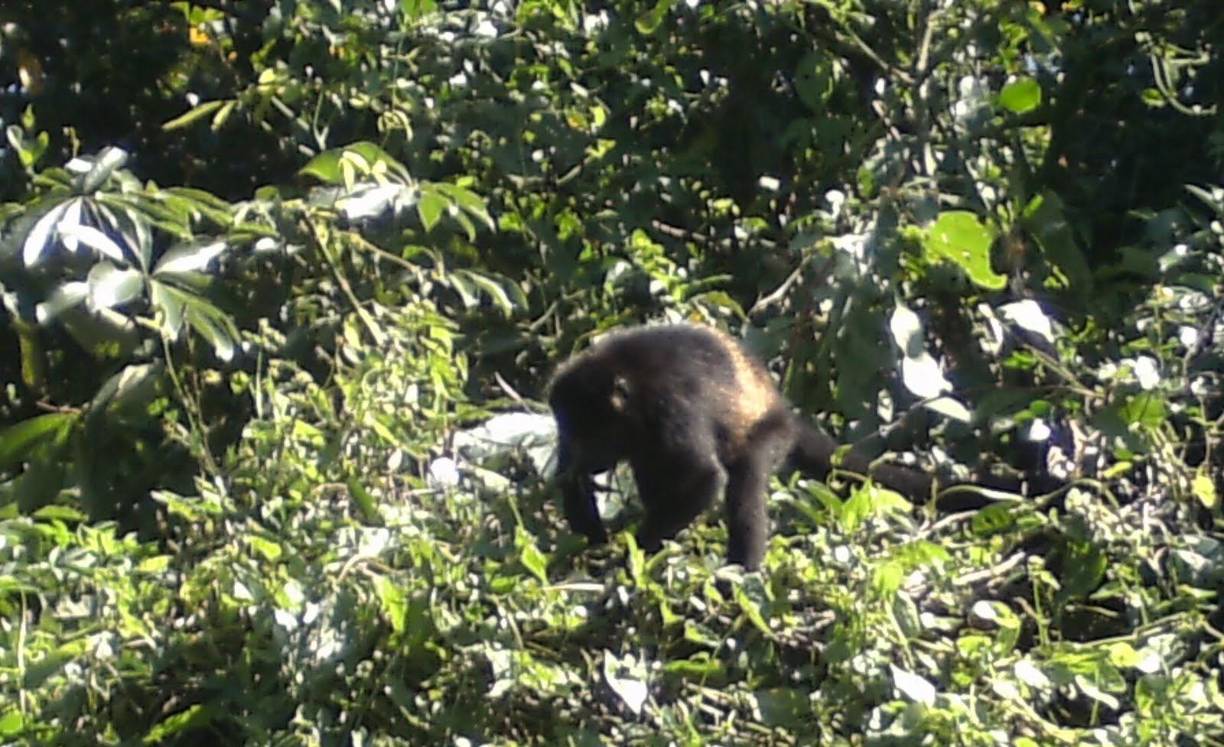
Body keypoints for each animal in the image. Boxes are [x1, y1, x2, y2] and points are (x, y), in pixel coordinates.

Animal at [547, 323, 939, 570]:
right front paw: (592, 548)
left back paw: (740, 571)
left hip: (770, 433)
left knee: (745, 484)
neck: (629, 388)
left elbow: (703, 478)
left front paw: (630, 557)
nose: (581, 456)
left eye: (595, 433)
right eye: (570, 431)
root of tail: (783, 409)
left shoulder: (671, 406)